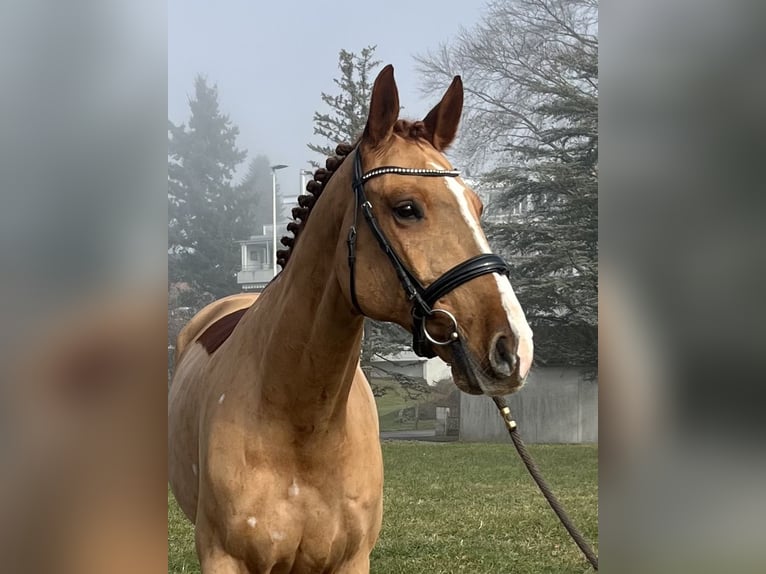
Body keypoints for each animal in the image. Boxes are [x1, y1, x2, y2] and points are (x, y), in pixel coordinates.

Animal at [170, 65, 536, 572]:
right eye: (406, 208)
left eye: (478, 206)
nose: (513, 346)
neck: (302, 424)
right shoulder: (224, 559)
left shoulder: (351, 559)